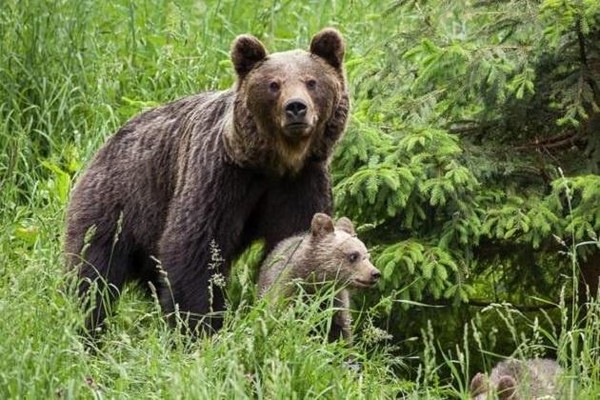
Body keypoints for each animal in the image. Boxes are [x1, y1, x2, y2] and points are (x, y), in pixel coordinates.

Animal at [63, 27, 350, 334]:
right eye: (274, 84)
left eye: (311, 81)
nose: (296, 107)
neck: (275, 162)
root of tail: (107, 142)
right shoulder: (219, 176)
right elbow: (196, 247)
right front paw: (199, 324)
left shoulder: (301, 182)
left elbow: (294, 245)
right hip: (118, 202)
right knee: (93, 272)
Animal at [256, 212, 380, 344]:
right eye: (353, 255)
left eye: (367, 256)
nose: (375, 273)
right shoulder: (287, 293)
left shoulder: (335, 305)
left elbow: (340, 334)